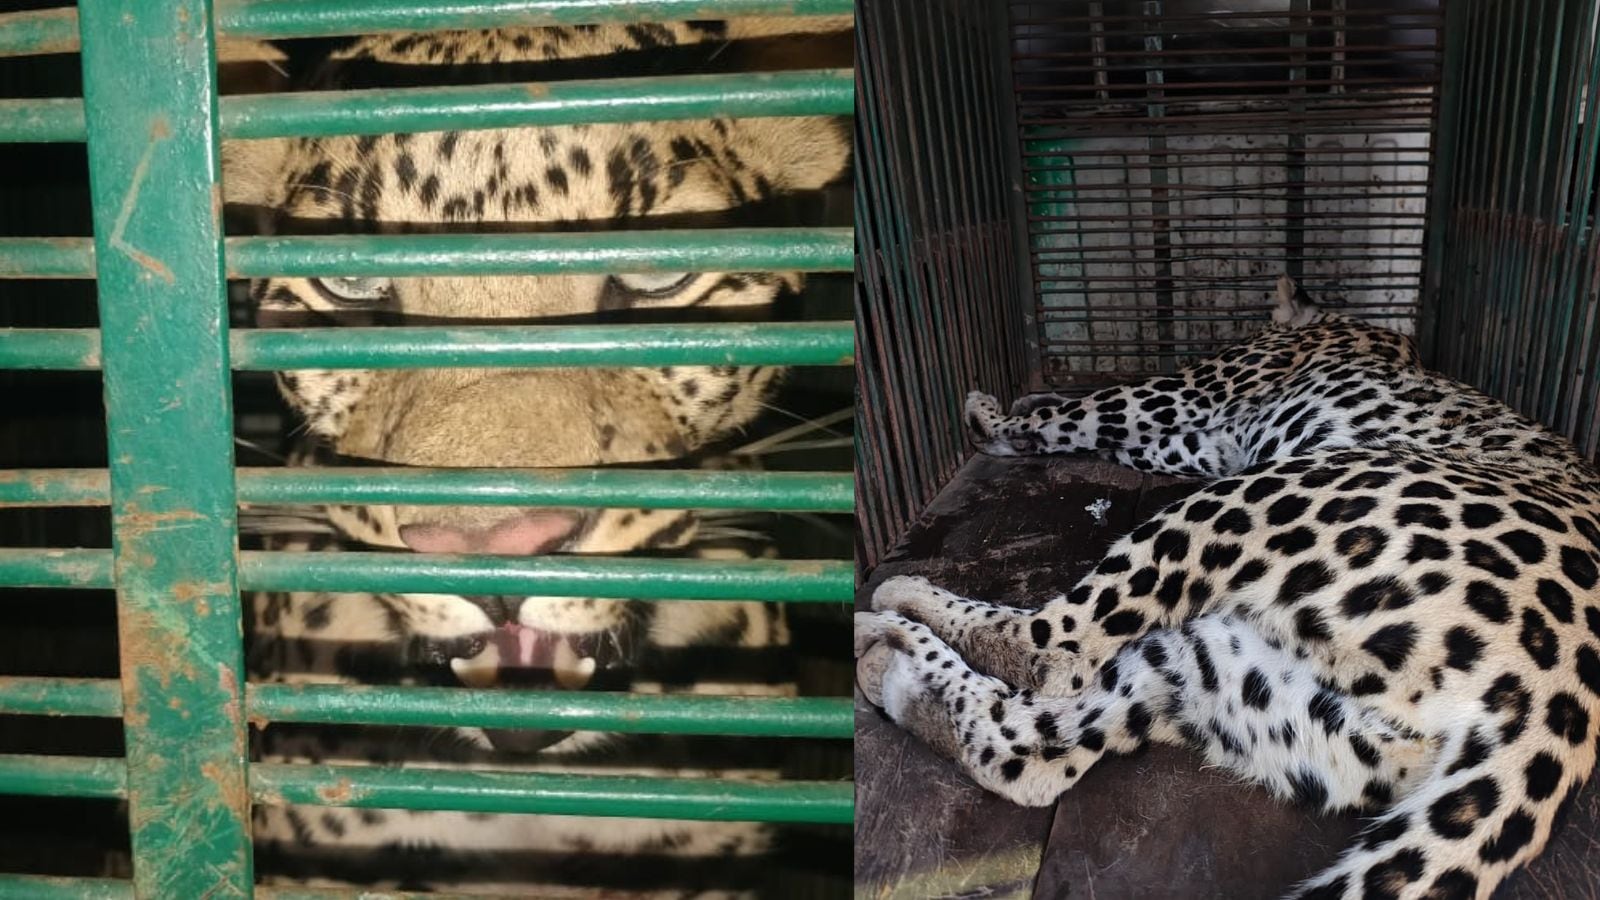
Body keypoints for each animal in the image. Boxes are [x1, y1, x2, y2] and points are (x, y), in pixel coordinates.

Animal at [855, 275, 1600, 899]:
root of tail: (1562, 703)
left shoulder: (1193, 398)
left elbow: (1090, 409)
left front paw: (993, 415)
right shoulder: (1201, 440)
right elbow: (1100, 430)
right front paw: (1021, 408)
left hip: (1266, 494)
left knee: (1054, 650)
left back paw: (897, 602)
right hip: (1237, 677)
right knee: (1028, 751)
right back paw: (886, 660)